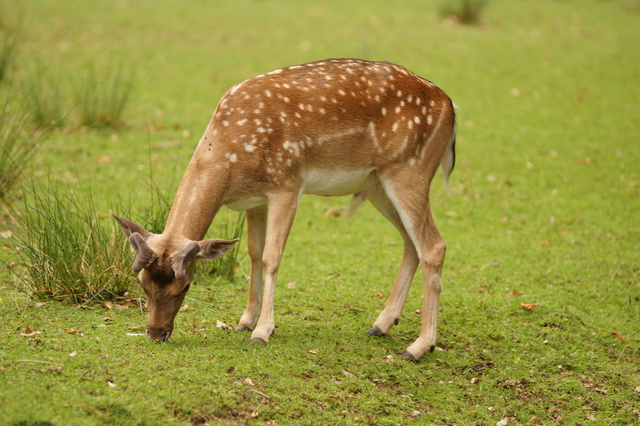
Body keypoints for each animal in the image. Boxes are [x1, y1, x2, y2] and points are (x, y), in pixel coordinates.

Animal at [114, 58, 456, 362]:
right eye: (142, 283)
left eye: (185, 286)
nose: (156, 333)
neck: (229, 157)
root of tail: (451, 105)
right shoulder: (254, 200)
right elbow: (253, 252)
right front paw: (246, 320)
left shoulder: (287, 184)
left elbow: (271, 257)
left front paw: (263, 332)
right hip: (377, 185)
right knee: (411, 243)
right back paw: (381, 325)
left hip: (410, 171)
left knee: (434, 245)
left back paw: (418, 347)